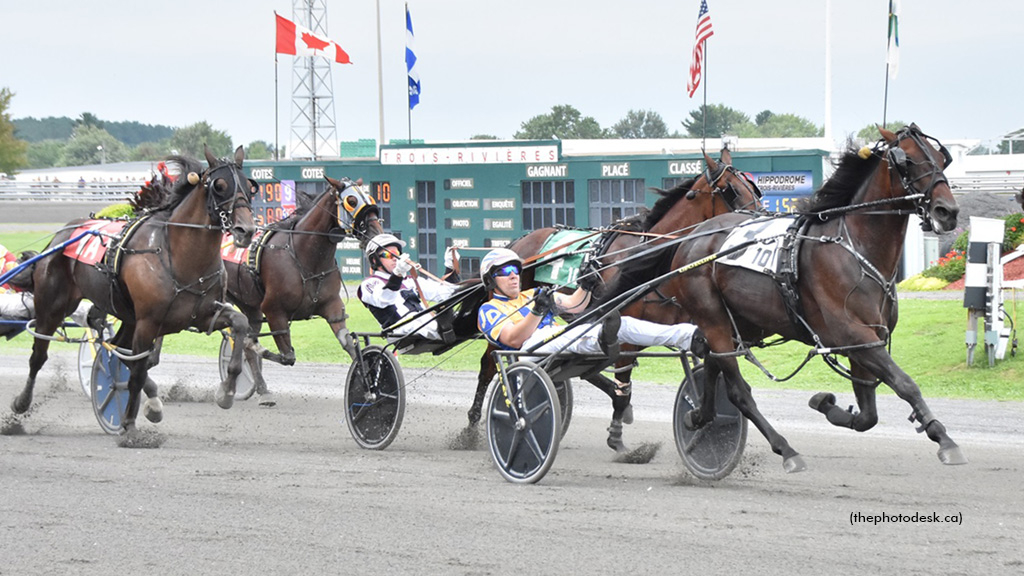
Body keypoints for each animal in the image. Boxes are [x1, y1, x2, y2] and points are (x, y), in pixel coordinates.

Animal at [11, 144, 256, 438]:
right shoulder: (148, 322)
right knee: (39, 355)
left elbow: (239, 323)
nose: (246, 230)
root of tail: (60, 235)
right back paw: (21, 404)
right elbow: (137, 370)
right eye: (219, 186)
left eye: (249, 186)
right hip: (53, 305)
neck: (178, 256)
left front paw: (227, 391)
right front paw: (128, 425)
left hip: (127, 316)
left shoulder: (202, 314)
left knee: (118, 347)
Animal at [224, 175, 385, 403]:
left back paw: (262, 389)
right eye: (351, 201)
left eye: (370, 198)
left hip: (250, 306)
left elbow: (349, 344)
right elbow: (286, 356)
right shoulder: (273, 310)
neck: (305, 255)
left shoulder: (332, 306)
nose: (376, 233)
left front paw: (370, 388)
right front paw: (250, 344)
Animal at [464, 147, 761, 448]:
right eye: (732, 191)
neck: (648, 257)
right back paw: (472, 425)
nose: (760, 219)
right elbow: (623, 382)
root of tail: (518, 243)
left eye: (754, 189)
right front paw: (617, 434)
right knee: (490, 363)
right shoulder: (622, 329)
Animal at [610, 124, 962, 471]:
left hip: (737, 321)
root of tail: (690, 238)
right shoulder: (853, 335)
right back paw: (785, 449)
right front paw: (945, 439)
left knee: (711, 365)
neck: (853, 247)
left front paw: (826, 403)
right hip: (713, 318)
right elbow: (904, 383)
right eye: (908, 160)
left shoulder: (865, 340)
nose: (948, 211)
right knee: (737, 390)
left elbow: (867, 415)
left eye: (940, 159)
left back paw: (699, 417)